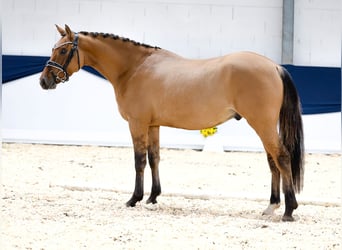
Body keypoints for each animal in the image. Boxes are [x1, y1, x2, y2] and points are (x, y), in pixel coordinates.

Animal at [40, 24, 304, 221]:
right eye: (53, 48)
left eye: (62, 51)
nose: (44, 81)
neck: (134, 68)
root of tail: (274, 66)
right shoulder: (152, 125)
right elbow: (154, 158)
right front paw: (153, 197)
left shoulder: (137, 123)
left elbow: (139, 161)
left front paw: (134, 198)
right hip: (263, 125)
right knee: (272, 160)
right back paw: (272, 206)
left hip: (262, 124)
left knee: (281, 157)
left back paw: (289, 210)